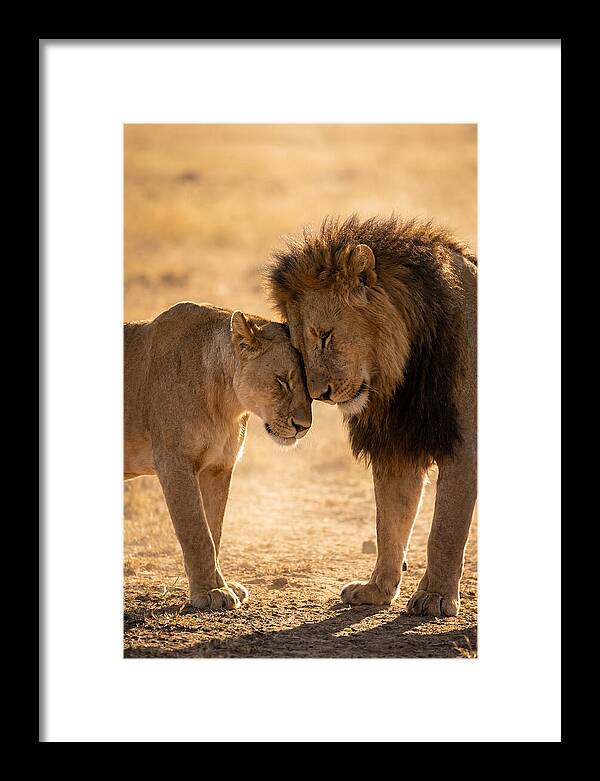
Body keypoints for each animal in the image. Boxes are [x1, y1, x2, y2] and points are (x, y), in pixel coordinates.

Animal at [124, 302, 312, 610]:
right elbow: (197, 532)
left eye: (312, 389)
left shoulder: (218, 467)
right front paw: (210, 592)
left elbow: (214, 530)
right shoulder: (174, 463)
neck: (227, 403)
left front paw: (222, 585)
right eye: (282, 381)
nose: (304, 426)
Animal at [266, 215, 477, 617]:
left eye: (325, 335)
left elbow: (445, 528)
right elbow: (389, 522)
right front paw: (377, 590)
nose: (320, 395)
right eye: (299, 347)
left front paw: (435, 596)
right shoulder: (397, 446)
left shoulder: (466, 445)